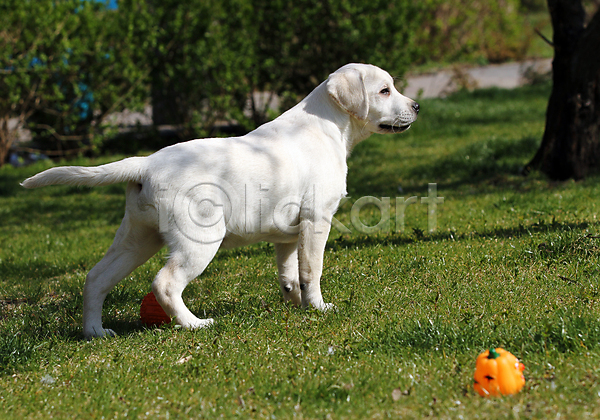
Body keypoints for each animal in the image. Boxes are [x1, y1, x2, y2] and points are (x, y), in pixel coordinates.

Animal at [22, 63, 418, 338]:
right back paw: (194, 324)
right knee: (164, 283)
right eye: (385, 90)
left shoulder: (288, 234)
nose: (416, 106)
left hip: (137, 238)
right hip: (198, 240)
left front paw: (297, 305)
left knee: (96, 278)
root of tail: (146, 162)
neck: (329, 125)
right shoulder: (316, 219)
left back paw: (95, 332)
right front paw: (319, 307)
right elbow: (312, 270)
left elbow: (289, 273)